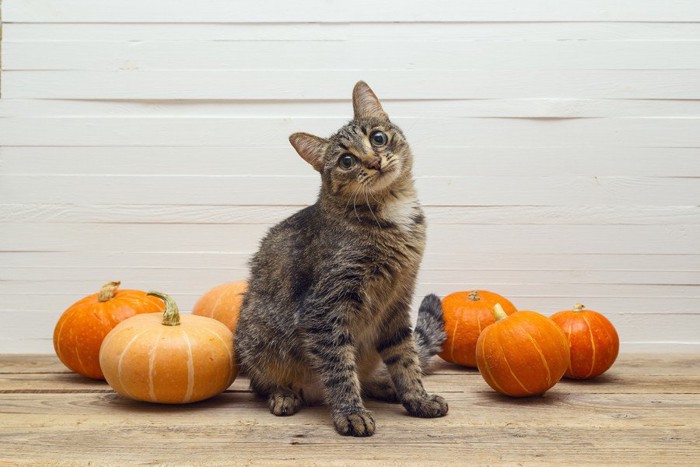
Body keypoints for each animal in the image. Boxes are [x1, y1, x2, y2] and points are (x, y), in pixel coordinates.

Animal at [232, 81, 446, 438]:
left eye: (377, 137)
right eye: (346, 160)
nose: (374, 161)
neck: (391, 211)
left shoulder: (397, 303)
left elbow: (405, 358)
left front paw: (417, 397)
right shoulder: (323, 309)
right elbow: (339, 368)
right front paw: (351, 412)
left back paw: (382, 385)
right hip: (257, 343)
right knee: (261, 383)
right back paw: (284, 395)